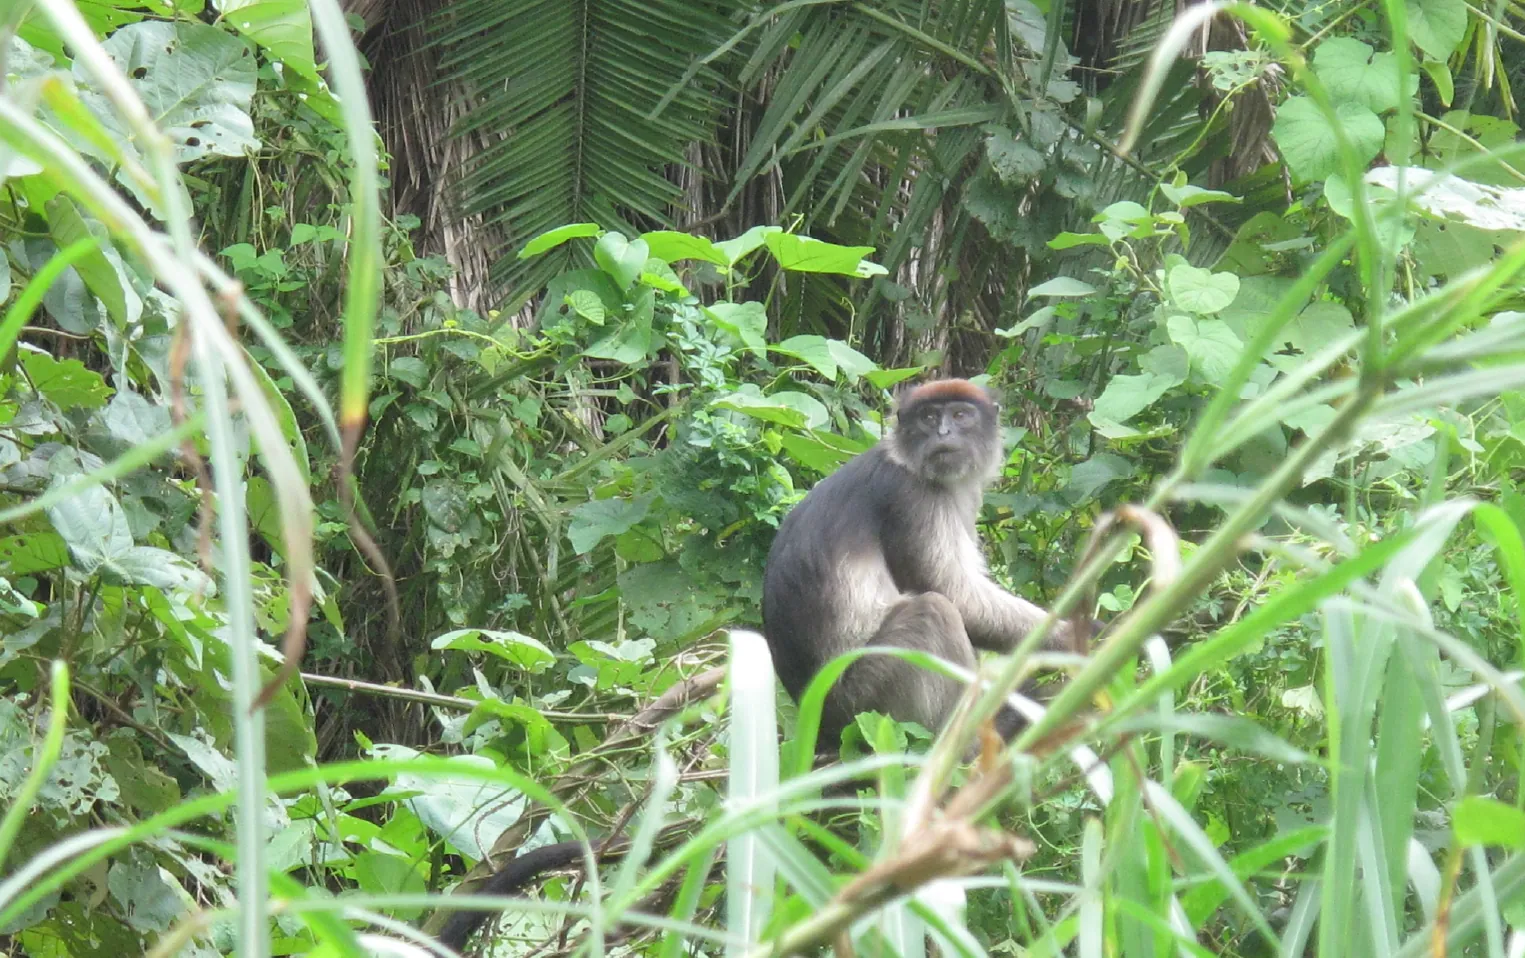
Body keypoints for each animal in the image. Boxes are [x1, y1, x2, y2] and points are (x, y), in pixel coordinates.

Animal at [761, 378, 1067, 749]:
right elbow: (955, 595)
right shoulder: (912, 497)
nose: (943, 432)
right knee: (933, 611)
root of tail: (820, 727)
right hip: (862, 701)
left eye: (960, 415)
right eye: (929, 416)